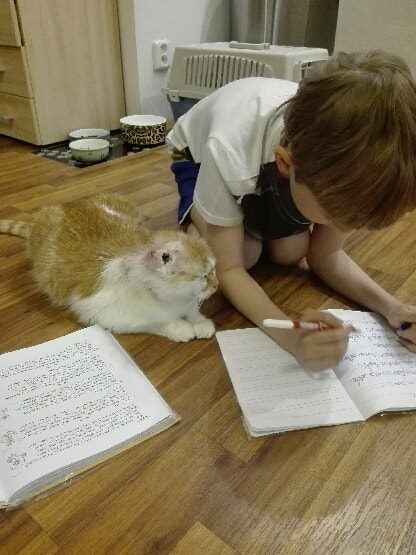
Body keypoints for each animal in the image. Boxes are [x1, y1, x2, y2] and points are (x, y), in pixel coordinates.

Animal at [0, 194, 218, 342]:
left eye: (214, 270)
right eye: (203, 276)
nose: (216, 286)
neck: (173, 301)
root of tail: (69, 203)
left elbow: (192, 311)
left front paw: (200, 323)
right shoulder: (111, 316)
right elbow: (158, 322)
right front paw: (180, 327)